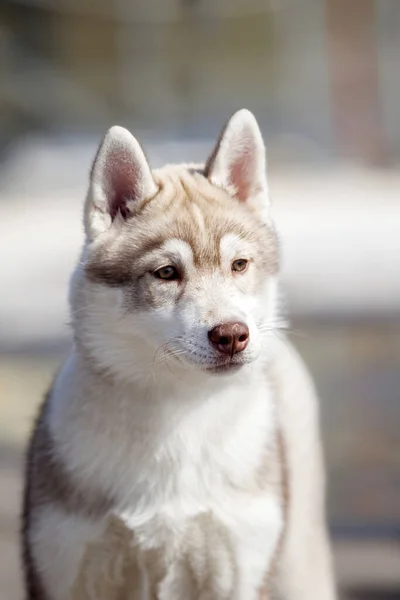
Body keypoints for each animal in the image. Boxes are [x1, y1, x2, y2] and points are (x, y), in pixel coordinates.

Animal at [21, 110, 334, 596]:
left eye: (239, 265)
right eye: (166, 273)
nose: (232, 335)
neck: (179, 415)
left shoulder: (240, 566)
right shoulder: (65, 565)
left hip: (298, 565)